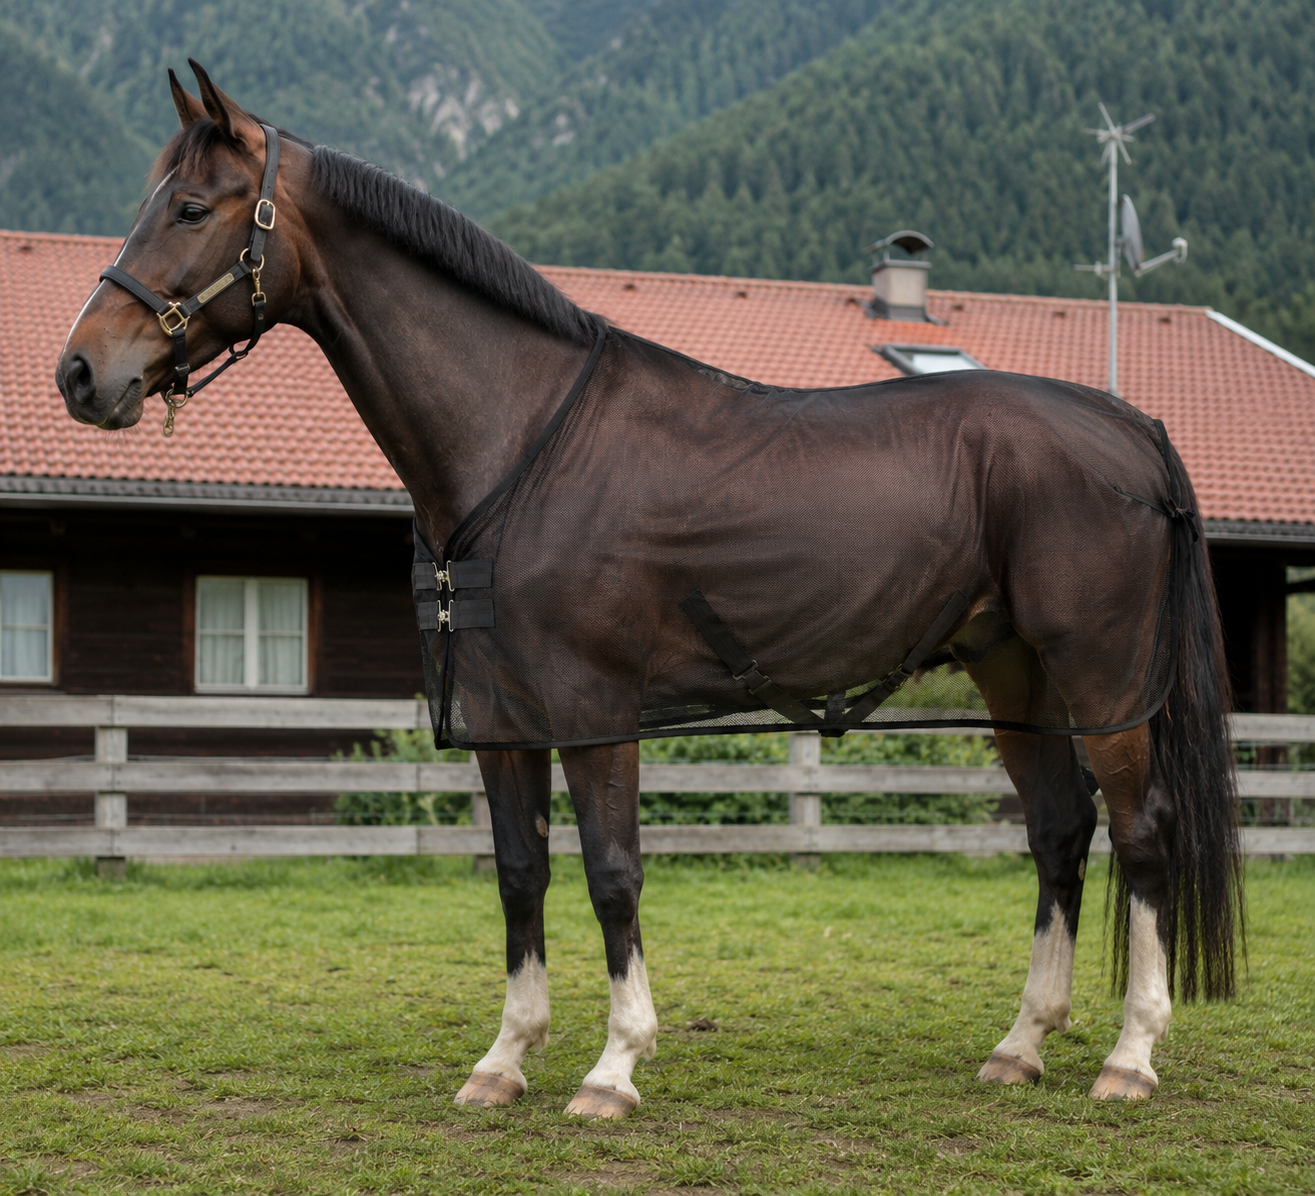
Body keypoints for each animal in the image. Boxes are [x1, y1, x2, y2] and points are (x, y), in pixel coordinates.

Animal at [56, 61, 1242, 1118]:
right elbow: (521, 873)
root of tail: (1127, 426)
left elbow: (612, 872)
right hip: (1014, 673)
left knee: (1141, 831)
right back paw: (1020, 1045)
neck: (519, 441)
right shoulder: (501, 719)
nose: (80, 373)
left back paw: (1129, 1056)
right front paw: (505, 1059)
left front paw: (612, 1067)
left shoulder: (594, 712)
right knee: (1058, 831)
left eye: (193, 207)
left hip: (1101, 680)